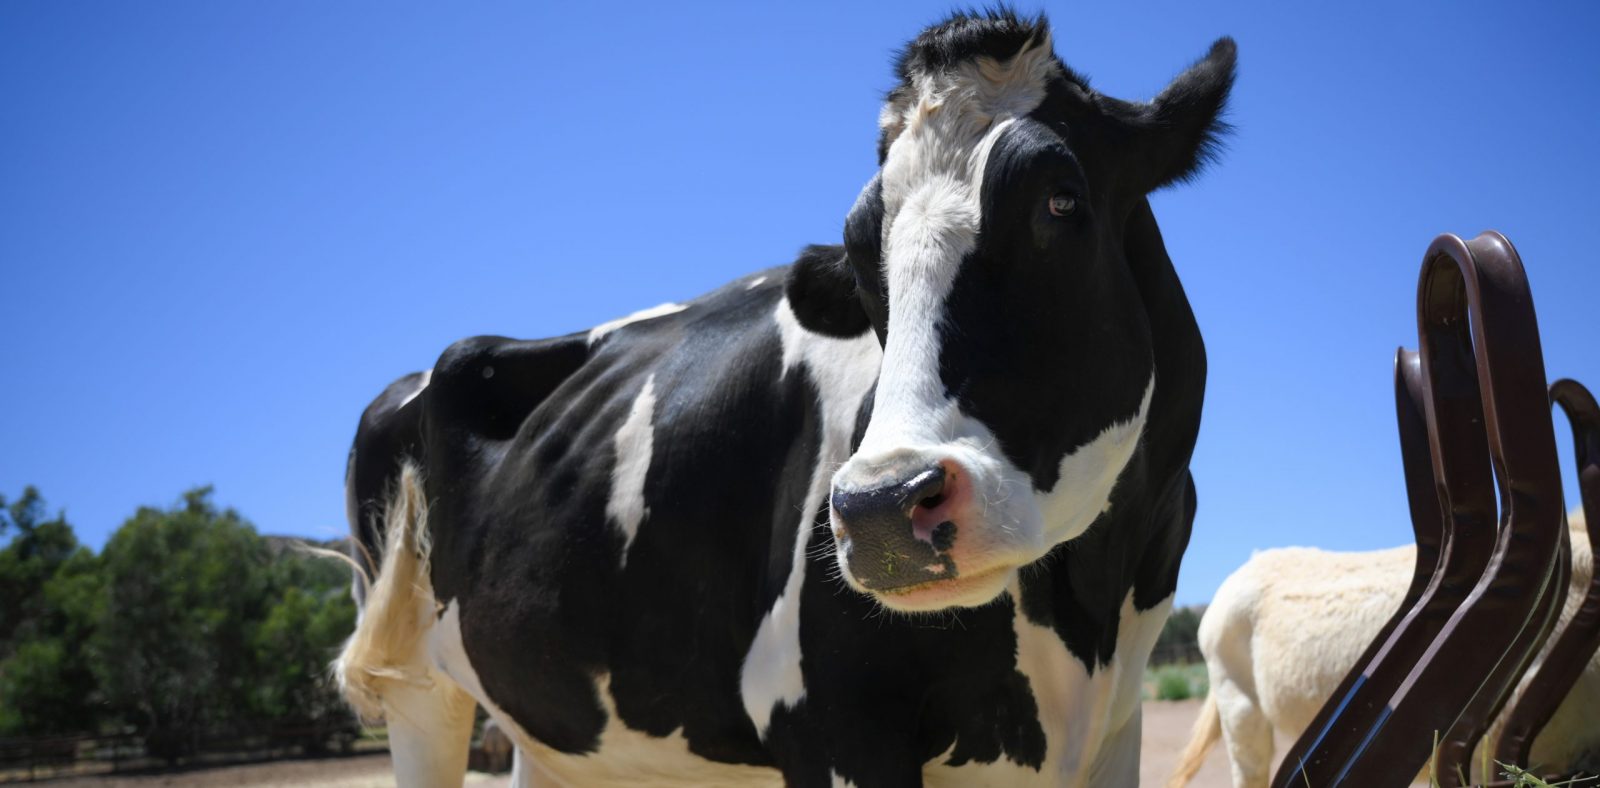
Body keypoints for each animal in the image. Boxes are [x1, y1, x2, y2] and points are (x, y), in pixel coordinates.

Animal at [340, 12, 1235, 788]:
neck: (1081, 601)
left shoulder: (1114, 726)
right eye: (860, 249)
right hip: (415, 684)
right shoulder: (830, 721)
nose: (882, 510)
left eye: (1060, 200)